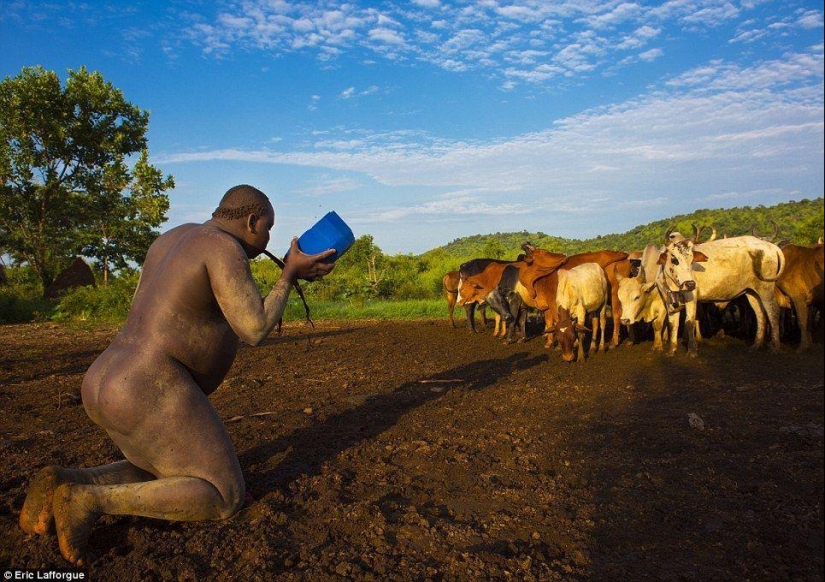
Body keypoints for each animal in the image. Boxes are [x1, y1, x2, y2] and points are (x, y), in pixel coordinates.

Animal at [652, 230, 784, 358]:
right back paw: (756, 345)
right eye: (674, 259)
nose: (690, 284)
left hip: (766, 288)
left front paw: (692, 351)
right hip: (752, 292)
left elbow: (689, 323)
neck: (672, 284)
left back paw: (775, 348)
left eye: (692, 260)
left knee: (773, 312)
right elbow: (672, 324)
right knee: (760, 314)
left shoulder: (691, 298)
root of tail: (769, 245)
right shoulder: (669, 301)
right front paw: (671, 350)